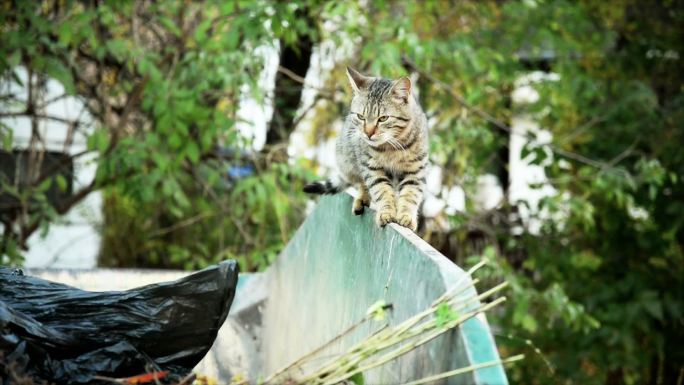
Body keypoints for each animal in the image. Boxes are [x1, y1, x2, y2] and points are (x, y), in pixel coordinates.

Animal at [304, 67, 428, 231]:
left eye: (383, 118)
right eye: (360, 117)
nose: (368, 133)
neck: (391, 148)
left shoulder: (416, 170)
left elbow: (410, 194)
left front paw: (406, 216)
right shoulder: (372, 168)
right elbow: (381, 190)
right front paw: (386, 212)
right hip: (349, 160)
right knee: (361, 182)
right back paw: (362, 199)